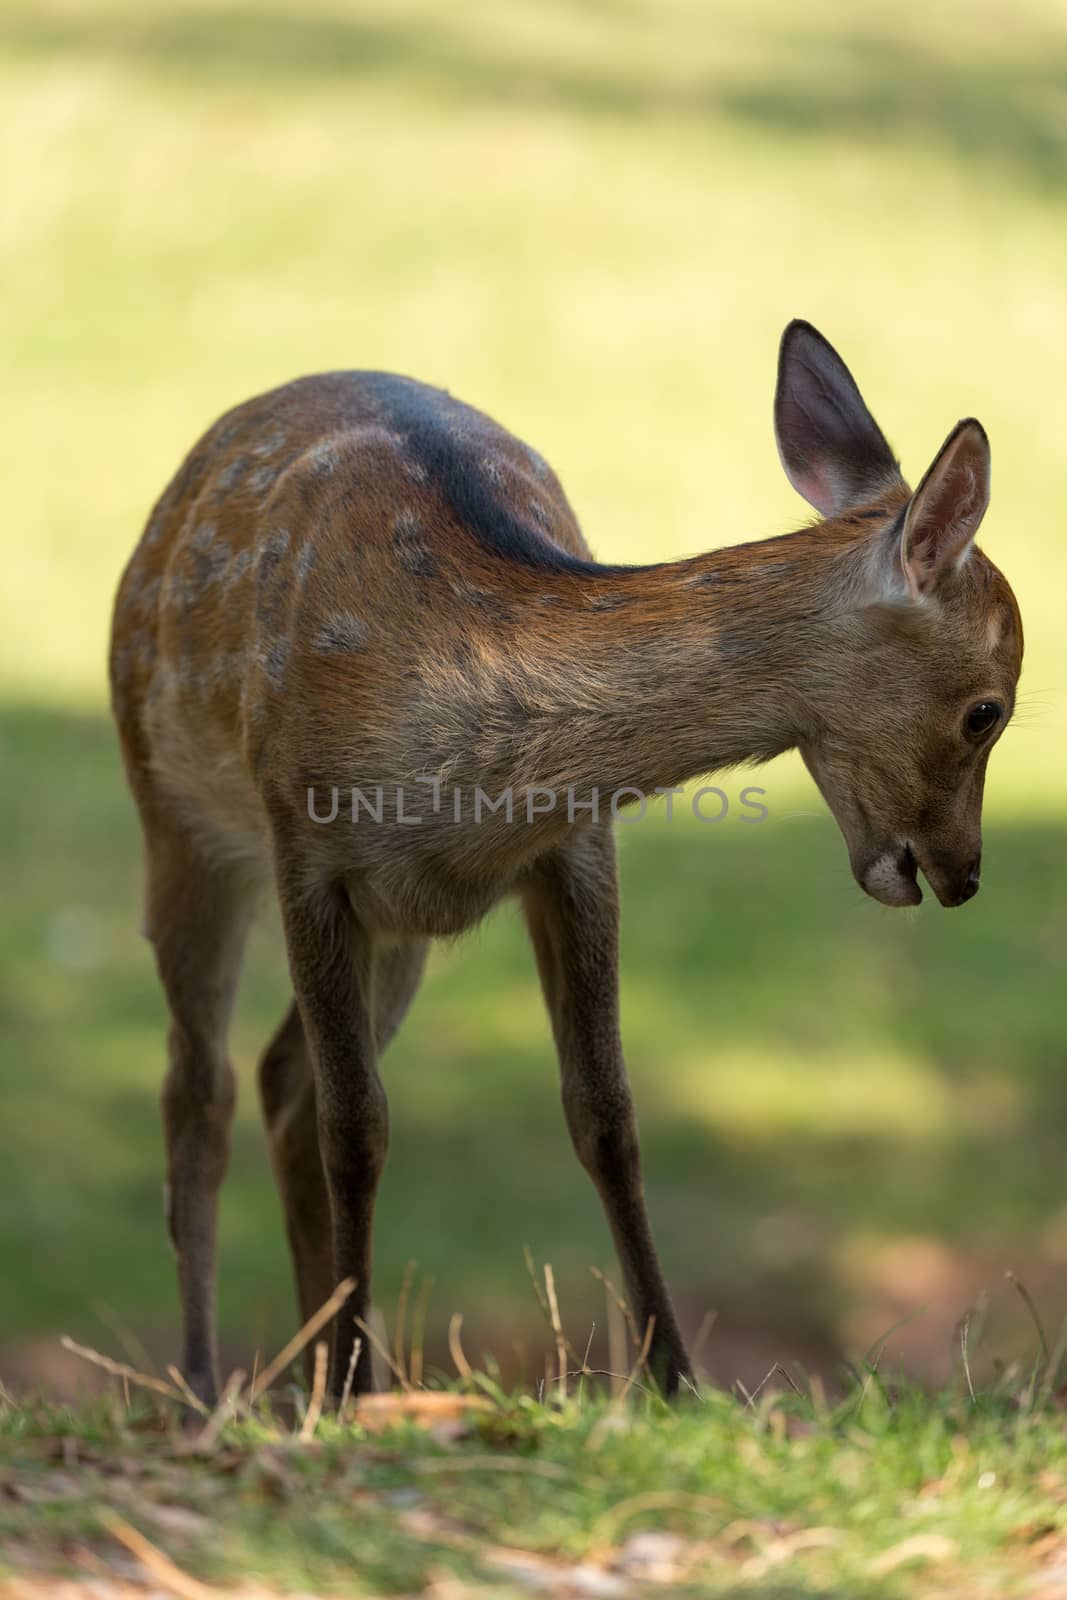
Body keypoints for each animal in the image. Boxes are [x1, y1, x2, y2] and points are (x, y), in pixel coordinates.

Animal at [110, 321, 1023, 1401]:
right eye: (987, 710)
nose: (962, 874)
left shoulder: (576, 851)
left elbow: (605, 1115)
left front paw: (675, 1379)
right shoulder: (306, 844)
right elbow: (358, 1126)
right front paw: (338, 1382)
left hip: (398, 931)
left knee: (281, 1079)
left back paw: (336, 1369)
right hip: (173, 809)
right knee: (197, 1091)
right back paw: (210, 1384)